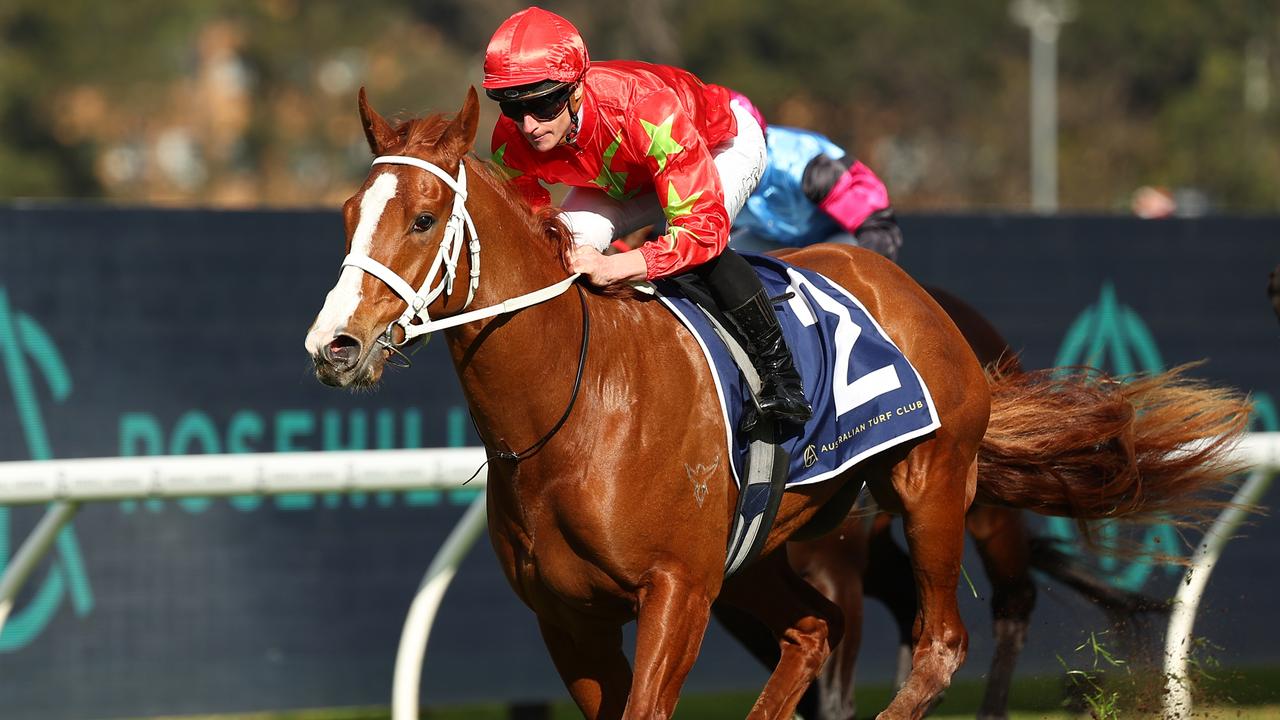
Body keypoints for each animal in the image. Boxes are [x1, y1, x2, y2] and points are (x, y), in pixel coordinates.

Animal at [304, 89, 1244, 717]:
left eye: (424, 218)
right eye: (348, 212)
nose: (334, 346)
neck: (575, 415)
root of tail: (915, 294)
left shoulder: (676, 590)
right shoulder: (567, 618)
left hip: (933, 487)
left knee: (944, 640)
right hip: (761, 552)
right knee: (813, 632)